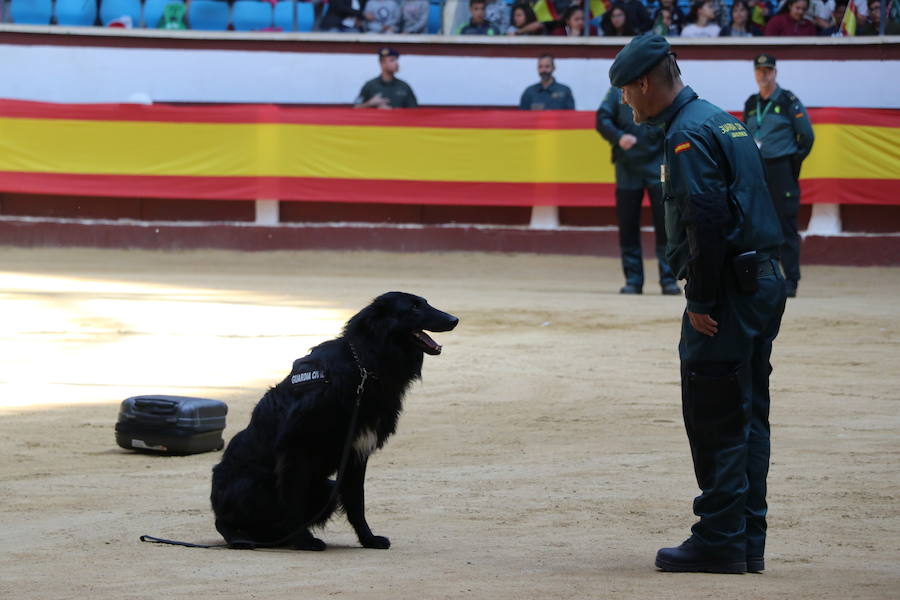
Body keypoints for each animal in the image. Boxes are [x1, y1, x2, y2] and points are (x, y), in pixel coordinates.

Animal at [210, 292, 458, 552]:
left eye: (425, 303)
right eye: (414, 307)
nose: (455, 320)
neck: (364, 366)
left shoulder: (356, 453)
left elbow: (357, 503)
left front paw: (368, 539)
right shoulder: (296, 451)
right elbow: (293, 501)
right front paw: (304, 541)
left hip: (326, 488)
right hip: (255, 485)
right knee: (225, 523)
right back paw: (247, 538)